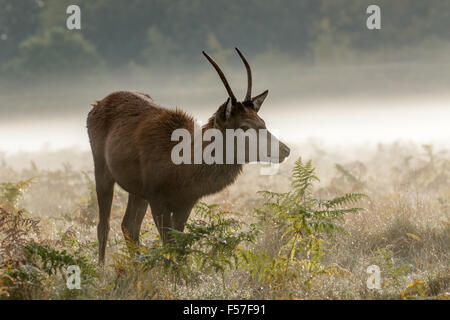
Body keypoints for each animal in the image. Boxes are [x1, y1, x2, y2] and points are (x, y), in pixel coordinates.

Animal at [87, 47, 290, 262]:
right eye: (244, 126)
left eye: (262, 121)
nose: (285, 149)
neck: (183, 171)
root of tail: (95, 105)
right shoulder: (157, 197)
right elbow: (169, 246)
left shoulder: (185, 202)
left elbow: (179, 248)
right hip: (102, 169)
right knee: (104, 225)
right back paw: (101, 267)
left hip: (137, 190)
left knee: (128, 226)